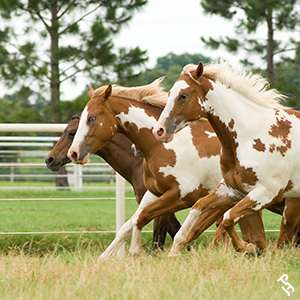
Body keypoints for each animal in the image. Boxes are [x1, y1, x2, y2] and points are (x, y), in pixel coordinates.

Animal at [154, 61, 300, 258]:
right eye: (169, 94)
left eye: (183, 95)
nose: (159, 131)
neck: (251, 135)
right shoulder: (231, 190)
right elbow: (198, 207)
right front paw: (175, 250)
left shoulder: (266, 193)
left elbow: (227, 218)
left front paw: (248, 247)